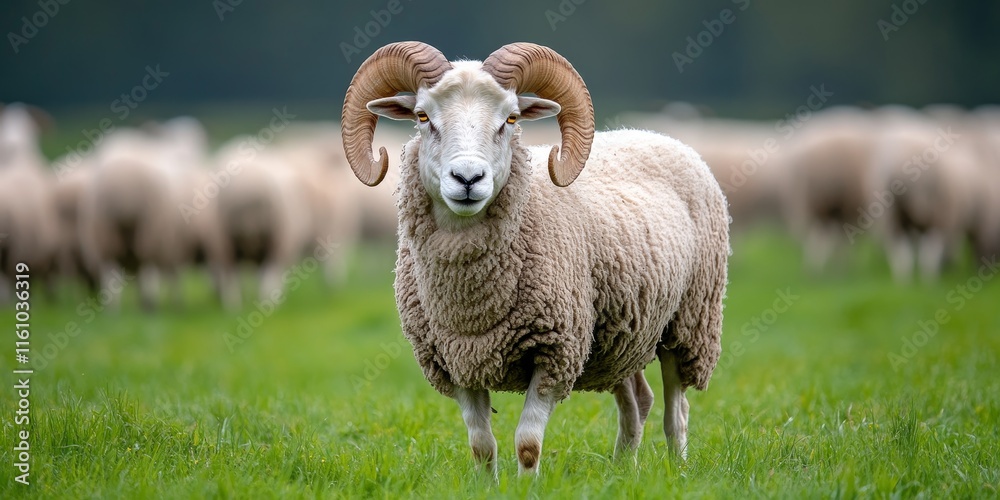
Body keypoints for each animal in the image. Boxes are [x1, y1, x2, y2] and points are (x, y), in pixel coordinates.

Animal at [341, 42, 729, 476]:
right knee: (637, 401)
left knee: (676, 410)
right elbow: (481, 446)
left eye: (510, 119)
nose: (468, 179)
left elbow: (527, 443)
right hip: (621, 335)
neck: (472, 307)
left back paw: (677, 470)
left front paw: (528, 483)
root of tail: (651, 133)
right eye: (423, 117)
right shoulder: (456, 361)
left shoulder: (555, 350)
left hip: (690, 320)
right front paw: (486, 484)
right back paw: (622, 471)